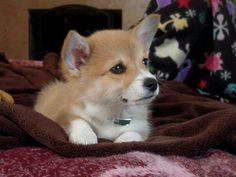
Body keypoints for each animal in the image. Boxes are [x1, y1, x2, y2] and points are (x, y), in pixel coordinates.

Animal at [34, 14, 160, 145]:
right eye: (117, 68)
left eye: (145, 61)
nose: (153, 83)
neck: (112, 112)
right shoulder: (63, 114)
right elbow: (78, 120)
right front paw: (85, 135)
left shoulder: (142, 128)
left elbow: (134, 132)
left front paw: (126, 140)